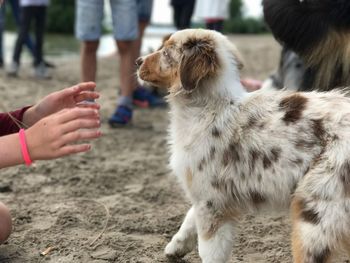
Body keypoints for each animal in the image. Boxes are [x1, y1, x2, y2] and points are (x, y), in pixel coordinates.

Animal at [136, 29, 350, 263]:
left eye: (166, 52)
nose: (138, 61)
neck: (209, 107)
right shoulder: (205, 194)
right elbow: (189, 218)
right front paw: (175, 247)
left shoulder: (212, 202)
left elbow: (210, 251)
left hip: (317, 213)